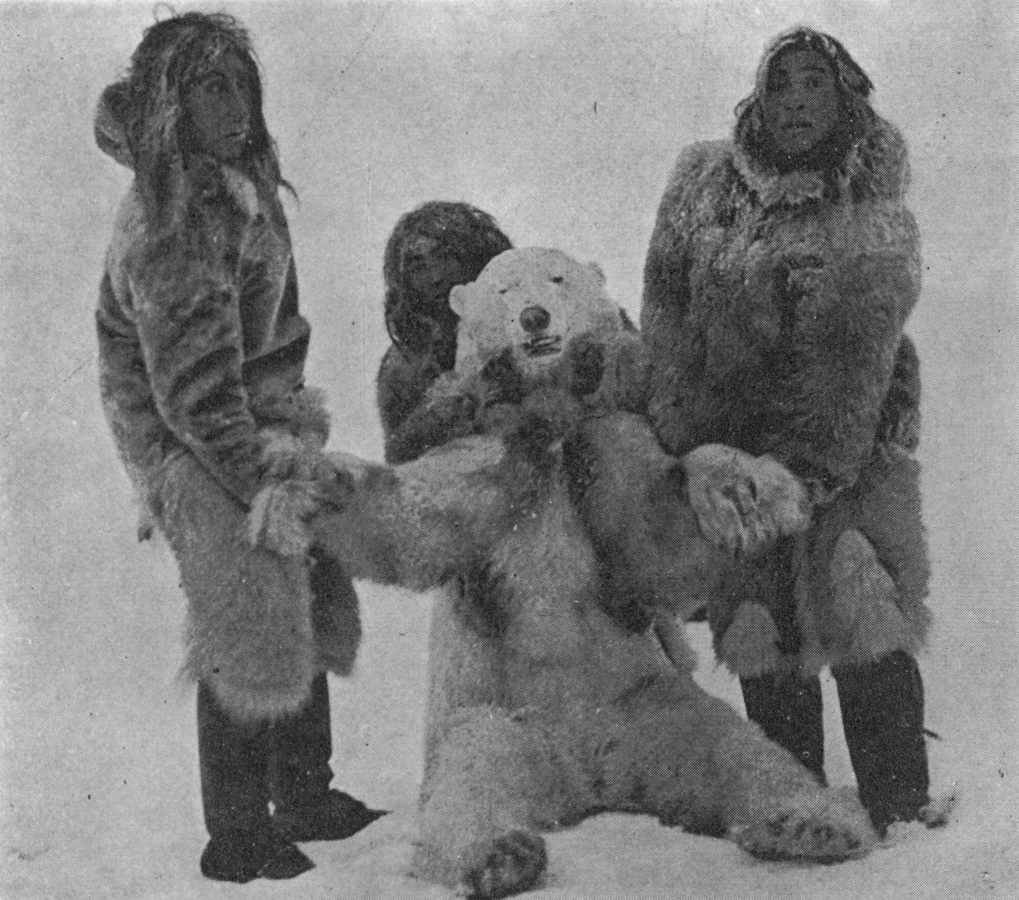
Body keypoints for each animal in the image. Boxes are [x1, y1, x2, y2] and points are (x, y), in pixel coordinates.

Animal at [257, 248, 878, 898]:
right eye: (505, 289)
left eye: (557, 278)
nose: (534, 317)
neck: (547, 420)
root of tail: (588, 777)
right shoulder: (485, 458)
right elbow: (416, 520)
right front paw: (310, 487)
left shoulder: (601, 443)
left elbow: (649, 535)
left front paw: (745, 489)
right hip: (503, 718)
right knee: (473, 776)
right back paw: (500, 854)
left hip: (646, 703)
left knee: (735, 748)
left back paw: (809, 824)